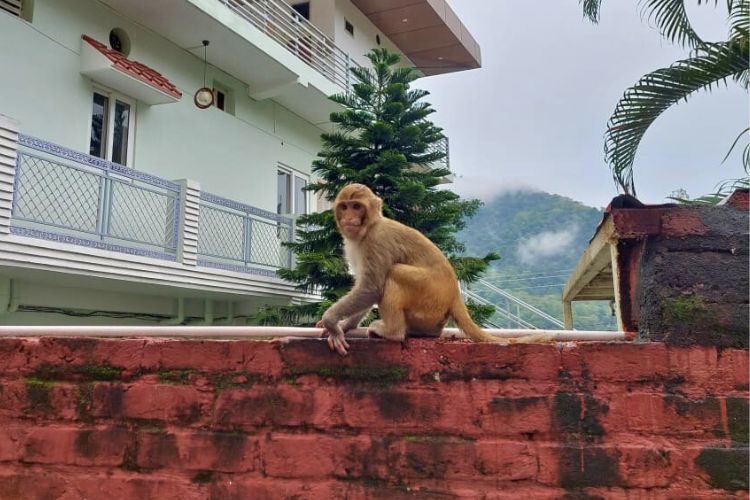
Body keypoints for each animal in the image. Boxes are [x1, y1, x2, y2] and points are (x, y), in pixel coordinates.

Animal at [318, 184, 552, 356]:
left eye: (357, 206)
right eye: (345, 206)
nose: (349, 218)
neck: (369, 227)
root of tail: (454, 294)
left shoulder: (377, 241)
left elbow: (371, 287)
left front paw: (331, 321)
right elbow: (365, 287)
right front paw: (345, 325)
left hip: (430, 301)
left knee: (395, 272)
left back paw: (392, 332)